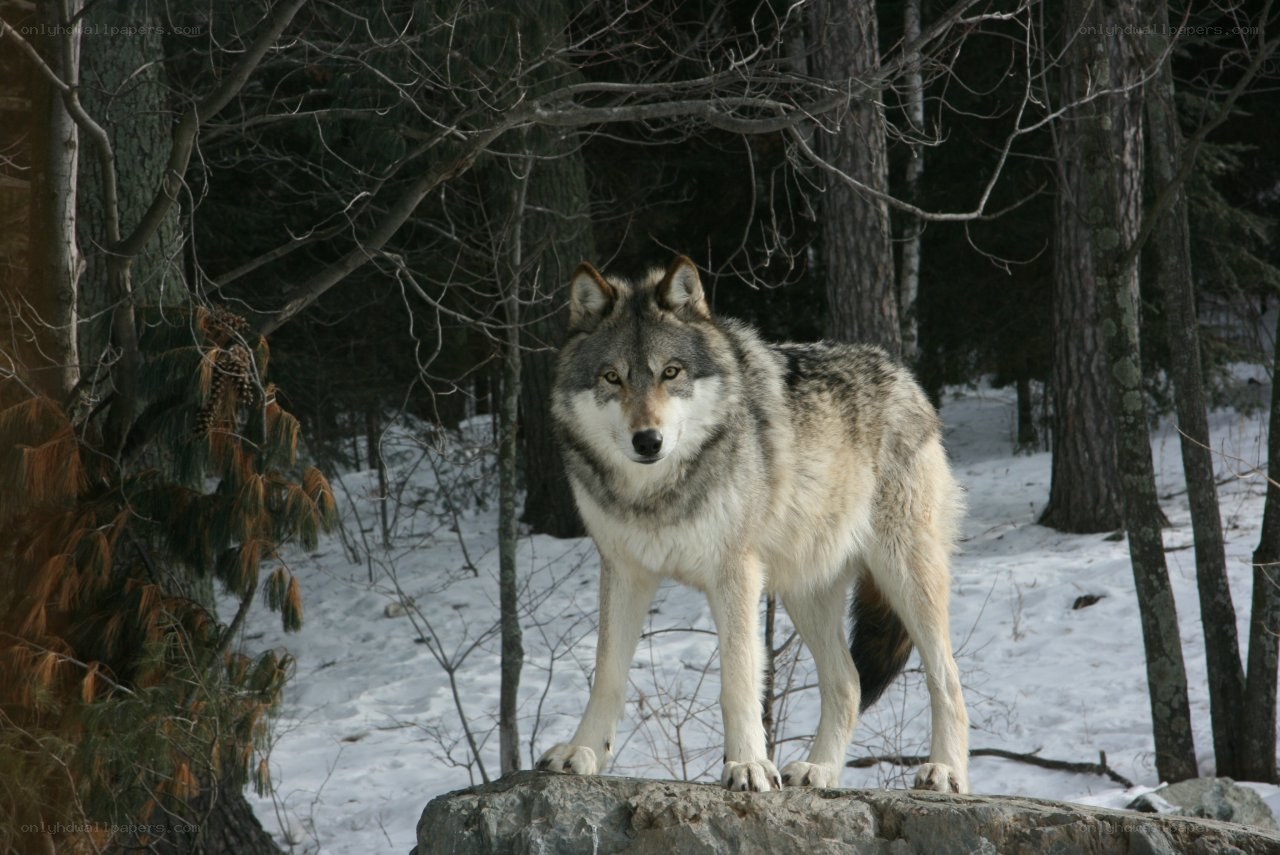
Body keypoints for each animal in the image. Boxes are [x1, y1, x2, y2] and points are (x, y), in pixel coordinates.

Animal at [536, 256, 970, 794]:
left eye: (671, 372)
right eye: (612, 377)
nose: (648, 441)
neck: (657, 493)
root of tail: (906, 377)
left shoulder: (735, 574)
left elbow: (738, 680)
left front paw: (747, 765)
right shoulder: (624, 571)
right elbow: (608, 674)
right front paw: (583, 752)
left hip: (905, 575)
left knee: (946, 677)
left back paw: (945, 771)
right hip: (807, 590)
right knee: (847, 683)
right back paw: (818, 771)